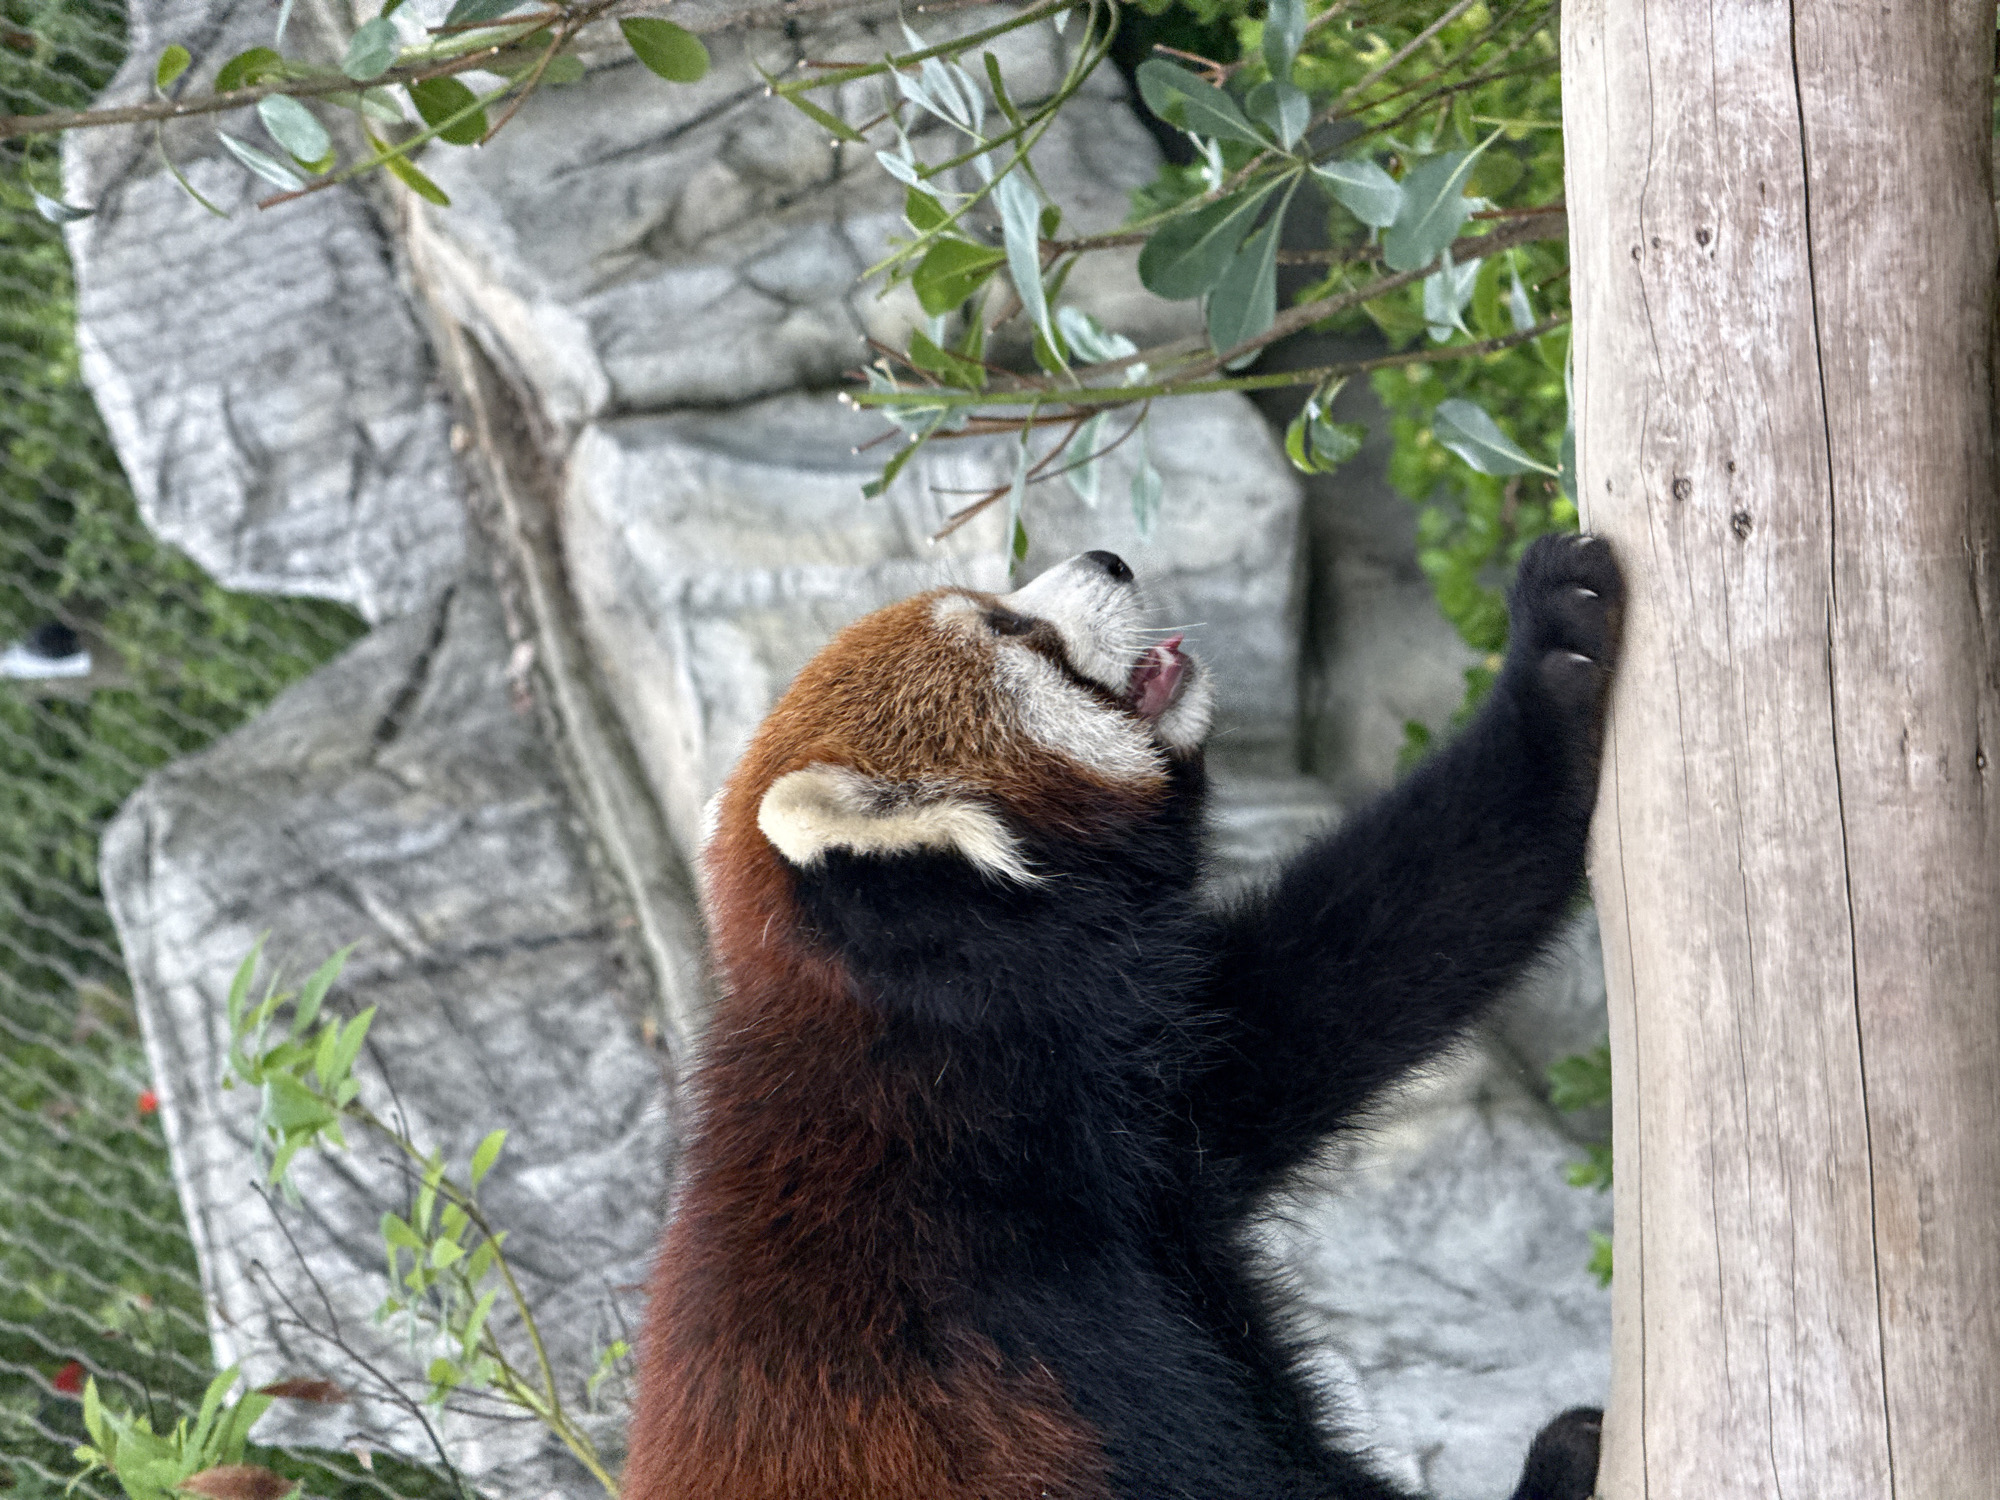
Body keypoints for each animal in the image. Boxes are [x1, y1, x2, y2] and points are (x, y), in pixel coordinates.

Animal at [623, 534, 1622, 1500]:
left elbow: (1392, 937)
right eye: (1011, 629)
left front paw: (1555, 655)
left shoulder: (1173, 1095)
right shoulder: (987, 1325)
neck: (949, 1067)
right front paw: (1563, 1465)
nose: (1109, 560)